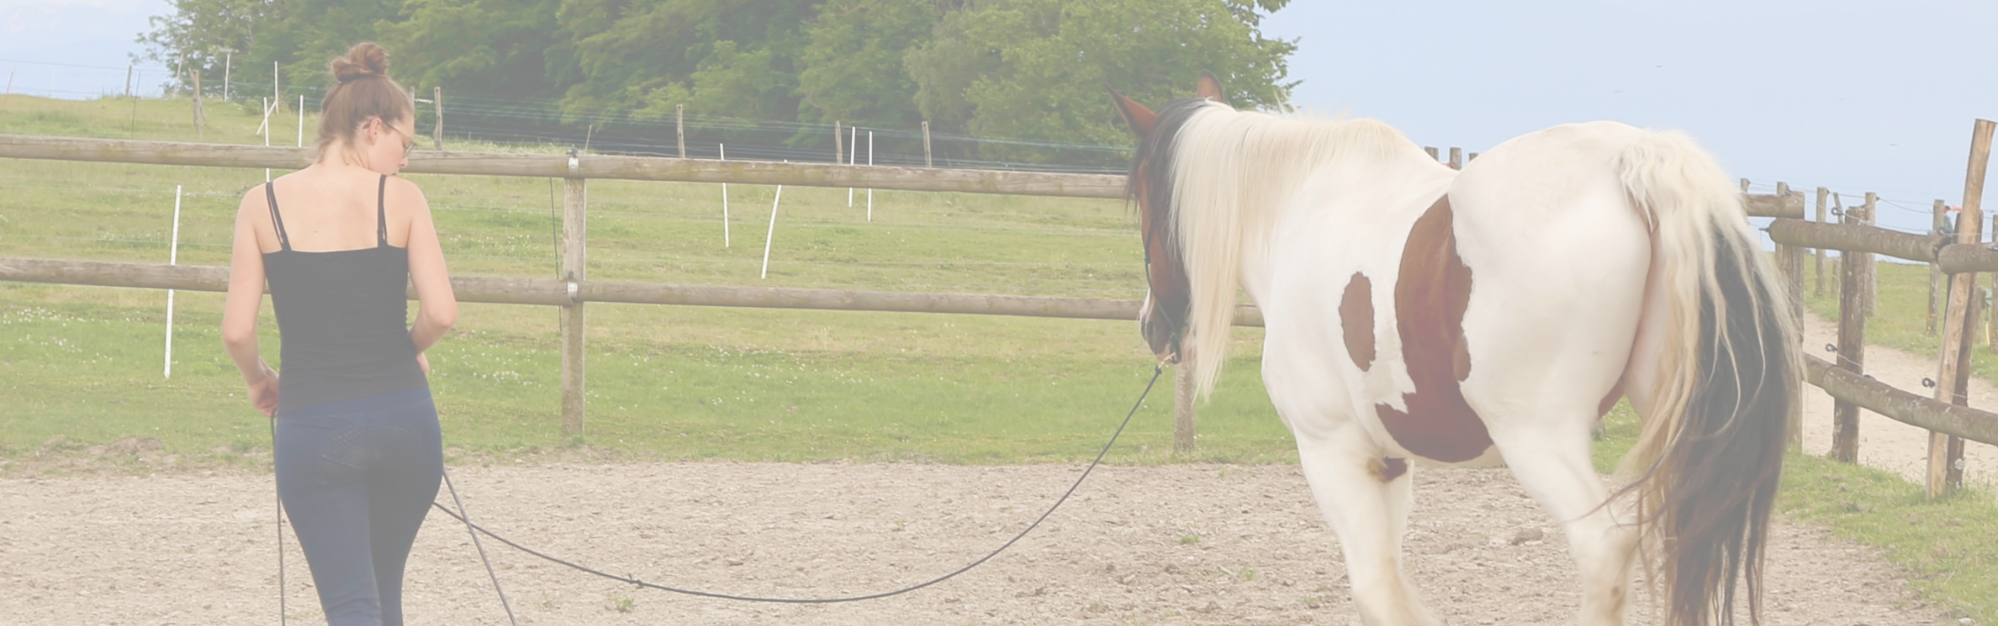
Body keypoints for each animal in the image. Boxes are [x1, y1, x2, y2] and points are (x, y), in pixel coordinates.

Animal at [1107, 74, 1798, 626]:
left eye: (1141, 197)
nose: (1150, 327)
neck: (1299, 206)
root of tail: (1630, 159)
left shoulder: (1332, 451)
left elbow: (1378, 593)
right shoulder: (1387, 461)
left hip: (1536, 436)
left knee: (1603, 550)